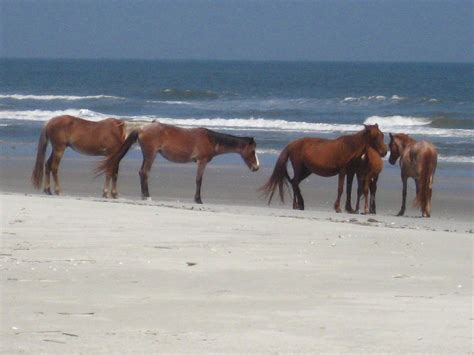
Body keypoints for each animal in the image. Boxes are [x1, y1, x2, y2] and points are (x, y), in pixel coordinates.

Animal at [95, 121, 260, 203]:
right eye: (253, 151)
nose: (256, 167)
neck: (211, 140)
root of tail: (141, 128)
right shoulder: (202, 161)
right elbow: (199, 180)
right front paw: (198, 199)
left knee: (142, 172)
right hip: (151, 154)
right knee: (144, 172)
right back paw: (147, 196)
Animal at [260, 125, 388, 213]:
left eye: (382, 135)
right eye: (375, 136)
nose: (384, 152)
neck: (350, 147)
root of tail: (291, 144)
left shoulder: (350, 172)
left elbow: (348, 189)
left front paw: (349, 208)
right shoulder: (342, 171)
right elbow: (341, 189)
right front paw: (338, 208)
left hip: (307, 171)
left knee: (294, 182)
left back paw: (296, 205)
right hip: (299, 167)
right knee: (295, 182)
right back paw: (300, 204)